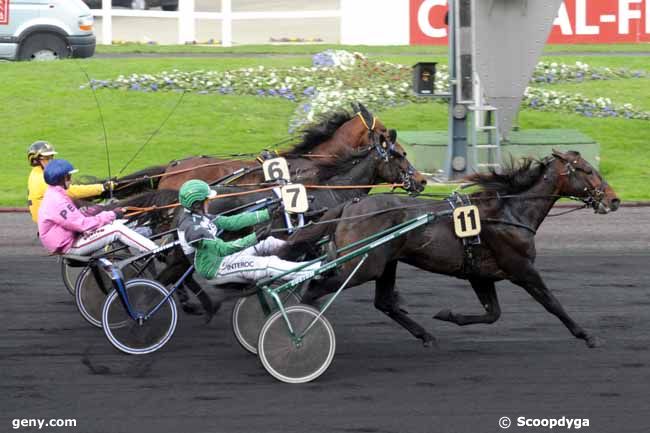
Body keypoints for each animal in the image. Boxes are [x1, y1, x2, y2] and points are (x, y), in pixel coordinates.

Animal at [282, 151, 616, 348]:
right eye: (586, 170)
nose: (613, 199)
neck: (509, 211)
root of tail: (351, 205)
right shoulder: (522, 269)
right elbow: (552, 303)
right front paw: (586, 335)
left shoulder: (480, 274)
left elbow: (493, 314)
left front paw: (448, 315)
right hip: (363, 266)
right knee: (314, 288)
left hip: (385, 262)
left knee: (384, 302)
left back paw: (426, 336)